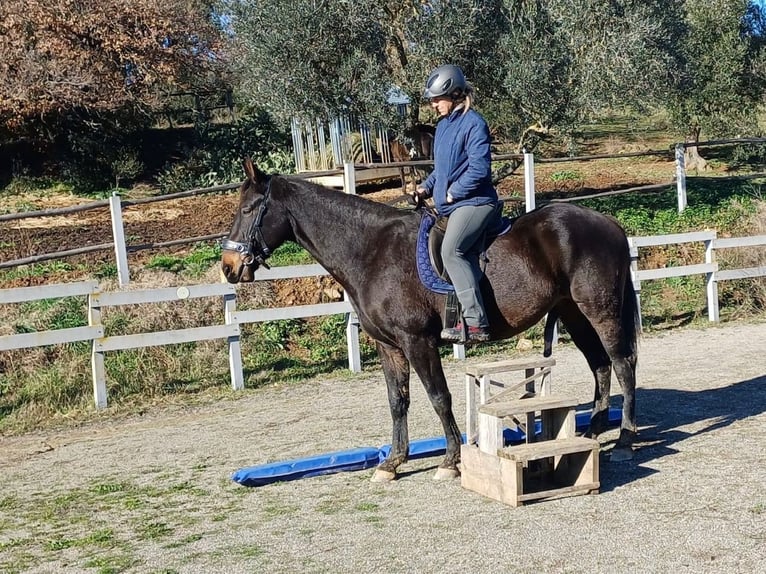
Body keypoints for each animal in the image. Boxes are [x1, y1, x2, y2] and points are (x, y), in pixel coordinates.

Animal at [221, 158, 640, 482]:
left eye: (248, 209)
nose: (228, 267)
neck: (371, 251)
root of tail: (609, 223)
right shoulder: (388, 346)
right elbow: (398, 400)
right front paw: (392, 463)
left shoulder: (417, 341)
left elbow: (439, 397)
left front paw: (451, 461)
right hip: (573, 313)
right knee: (600, 365)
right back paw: (594, 431)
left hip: (599, 310)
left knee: (622, 364)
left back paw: (625, 439)